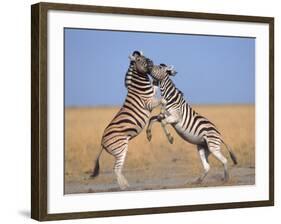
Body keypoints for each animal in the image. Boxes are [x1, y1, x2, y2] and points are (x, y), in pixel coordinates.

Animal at [89, 50, 165, 189]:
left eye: (146, 57)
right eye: (139, 60)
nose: (151, 62)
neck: (140, 86)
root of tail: (102, 142)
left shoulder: (152, 93)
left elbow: (155, 87)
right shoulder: (148, 103)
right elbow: (161, 100)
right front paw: (165, 103)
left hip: (120, 150)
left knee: (118, 169)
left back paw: (126, 185)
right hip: (120, 148)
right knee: (116, 168)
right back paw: (123, 187)